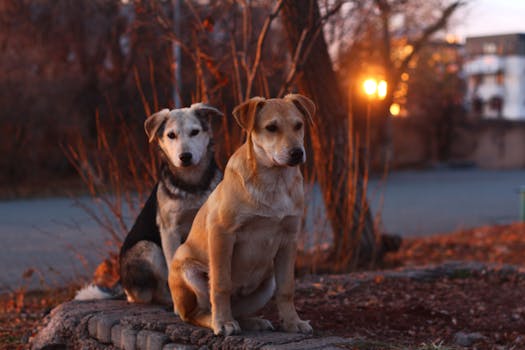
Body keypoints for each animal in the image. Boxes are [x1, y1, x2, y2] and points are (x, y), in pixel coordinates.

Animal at [74, 103, 222, 304]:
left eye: (195, 132)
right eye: (171, 135)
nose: (185, 156)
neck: (192, 184)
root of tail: (122, 284)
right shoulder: (169, 231)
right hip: (148, 248)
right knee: (151, 293)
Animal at [169, 94, 316, 334]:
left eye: (298, 125)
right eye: (271, 128)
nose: (297, 153)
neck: (274, 182)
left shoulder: (289, 240)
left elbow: (287, 288)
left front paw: (293, 322)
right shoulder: (222, 234)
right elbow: (221, 285)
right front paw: (223, 323)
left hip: (267, 282)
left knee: (239, 310)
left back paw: (252, 321)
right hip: (188, 269)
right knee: (196, 313)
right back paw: (217, 321)